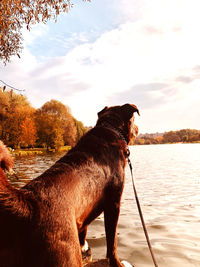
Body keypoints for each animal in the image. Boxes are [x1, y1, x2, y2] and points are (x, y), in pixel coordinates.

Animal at [0, 104, 139, 267]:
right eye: (134, 119)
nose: (137, 128)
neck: (109, 128)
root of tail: (27, 203)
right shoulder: (113, 204)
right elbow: (112, 242)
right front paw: (116, 262)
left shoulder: (84, 213)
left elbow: (84, 231)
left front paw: (85, 250)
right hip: (65, 256)